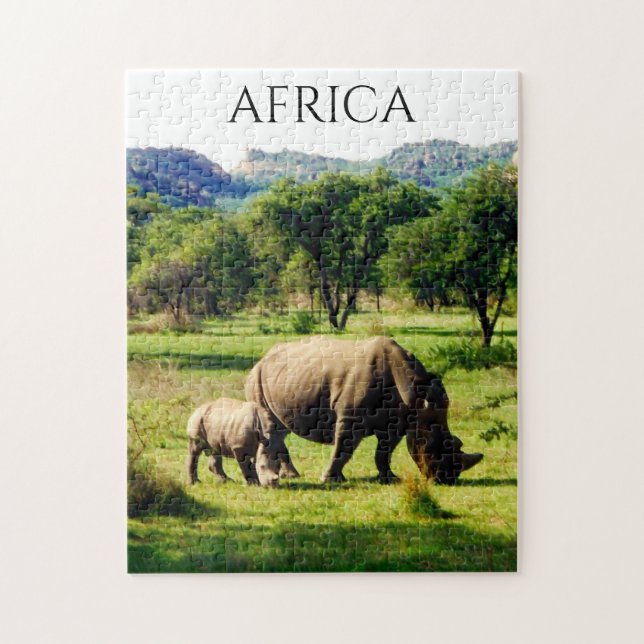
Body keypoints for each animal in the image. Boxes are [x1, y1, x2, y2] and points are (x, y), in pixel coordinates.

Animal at [245, 336, 483, 484]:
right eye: (434, 445)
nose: (448, 478)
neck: (416, 398)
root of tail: (262, 358)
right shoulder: (350, 418)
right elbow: (344, 448)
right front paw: (330, 480)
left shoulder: (398, 422)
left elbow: (384, 452)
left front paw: (390, 479)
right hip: (256, 377)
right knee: (272, 426)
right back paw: (292, 476)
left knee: (280, 429)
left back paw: (290, 475)